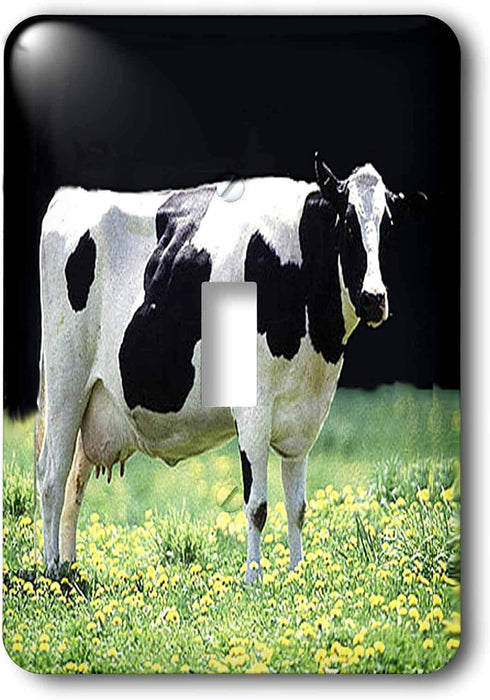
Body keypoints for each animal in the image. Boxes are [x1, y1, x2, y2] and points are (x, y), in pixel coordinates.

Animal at [36, 154, 425, 583]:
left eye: (388, 226)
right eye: (349, 224)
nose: (374, 298)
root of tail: (70, 196)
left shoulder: (304, 418)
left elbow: (298, 507)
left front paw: (296, 572)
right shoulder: (253, 411)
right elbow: (257, 506)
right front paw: (254, 577)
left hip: (92, 402)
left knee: (74, 484)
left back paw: (70, 569)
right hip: (65, 384)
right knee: (52, 478)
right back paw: (51, 570)